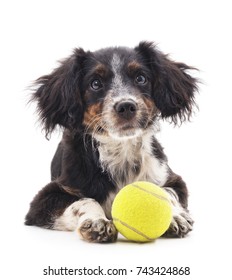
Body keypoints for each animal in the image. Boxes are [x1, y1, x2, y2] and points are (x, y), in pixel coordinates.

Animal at [25, 42, 198, 243]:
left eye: (141, 78)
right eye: (95, 83)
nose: (126, 106)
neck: (121, 149)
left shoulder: (173, 179)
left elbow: (168, 193)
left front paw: (176, 217)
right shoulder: (44, 199)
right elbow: (84, 200)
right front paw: (97, 221)